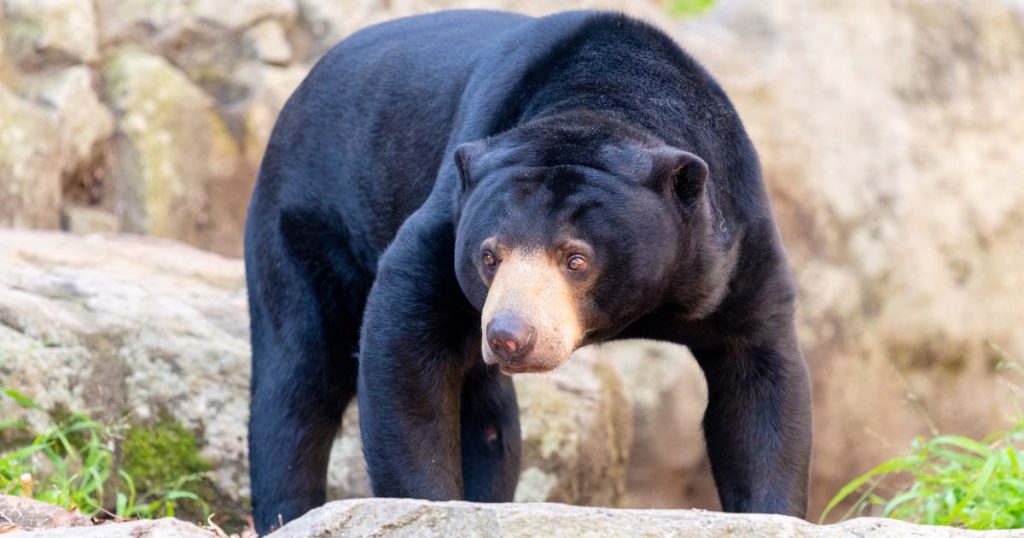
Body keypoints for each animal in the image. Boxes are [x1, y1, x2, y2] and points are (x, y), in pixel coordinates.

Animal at [244, 9, 812, 534]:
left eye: (577, 259)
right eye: (488, 256)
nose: (509, 336)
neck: (601, 101)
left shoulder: (734, 249)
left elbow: (758, 382)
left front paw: (772, 511)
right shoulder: (447, 219)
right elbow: (403, 340)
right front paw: (426, 504)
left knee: (489, 418)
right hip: (305, 222)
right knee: (298, 378)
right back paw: (286, 513)